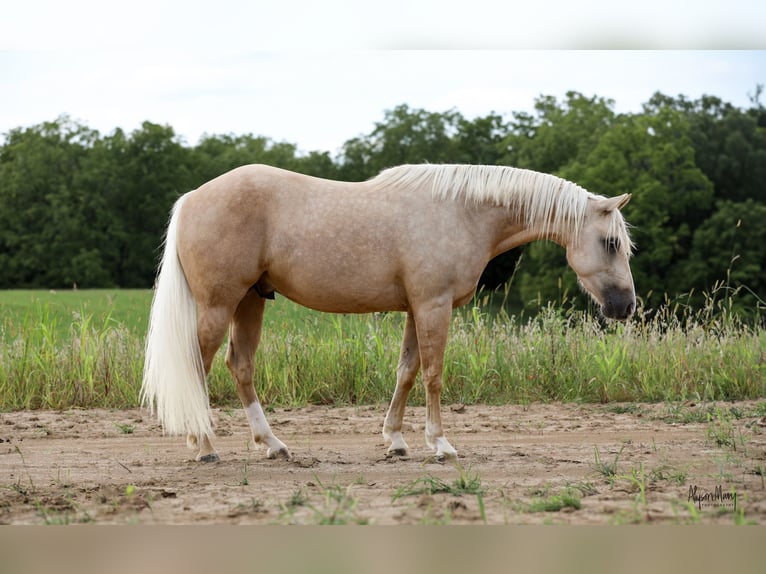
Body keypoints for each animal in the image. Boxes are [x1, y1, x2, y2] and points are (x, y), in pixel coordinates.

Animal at [142, 163, 636, 464]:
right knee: (198, 365)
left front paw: (396, 440)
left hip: (250, 300)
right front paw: (441, 444)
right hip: (220, 304)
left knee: (239, 365)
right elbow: (434, 374)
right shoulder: (434, 306)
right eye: (611, 242)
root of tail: (193, 197)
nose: (626, 306)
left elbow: (407, 371)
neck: (462, 212)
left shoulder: (417, 309)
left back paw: (273, 445)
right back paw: (204, 444)